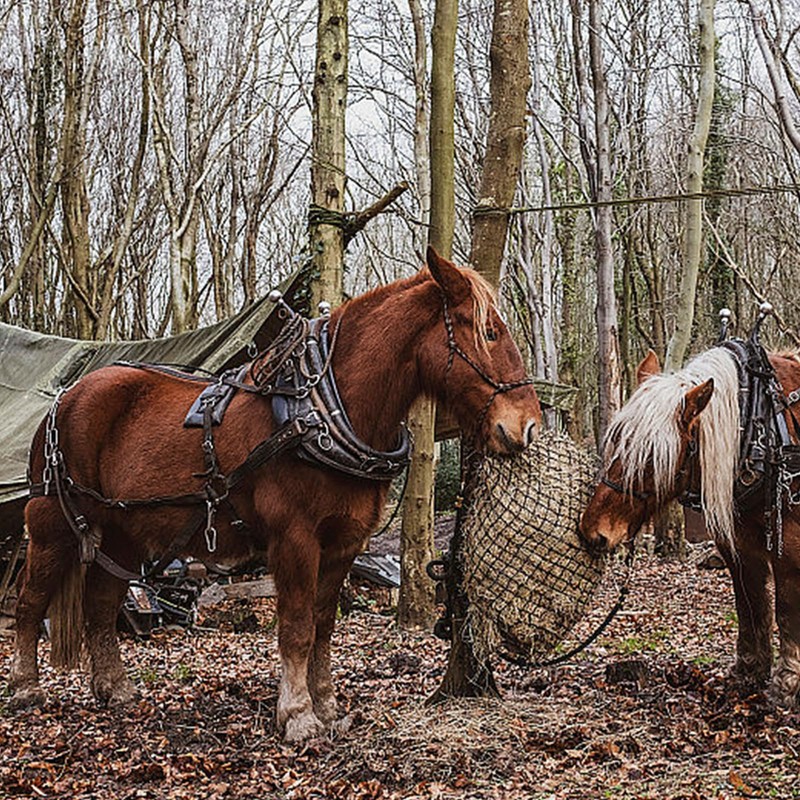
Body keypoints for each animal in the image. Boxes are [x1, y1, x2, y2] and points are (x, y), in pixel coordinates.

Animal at [8, 247, 542, 742]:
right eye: (489, 333)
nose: (527, 426)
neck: (323, 410)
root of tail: (66, 397)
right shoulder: (295, 539)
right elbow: (298, 627)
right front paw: (298, 716)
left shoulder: (343, 544)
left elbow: (324, 626)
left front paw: (327, 707)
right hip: (53, 524)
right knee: (31, 603)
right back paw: (26, 687)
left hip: (123, 534)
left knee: (100, 605)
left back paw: (114, 687)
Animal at [579, 342, 800, 708]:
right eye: (616, 441)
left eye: (650, 457)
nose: (593, 532)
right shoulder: (738, 545)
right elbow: (750, 605)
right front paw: (748, 671)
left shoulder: (788, 545)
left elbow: (784, 609)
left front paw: (787, 684)